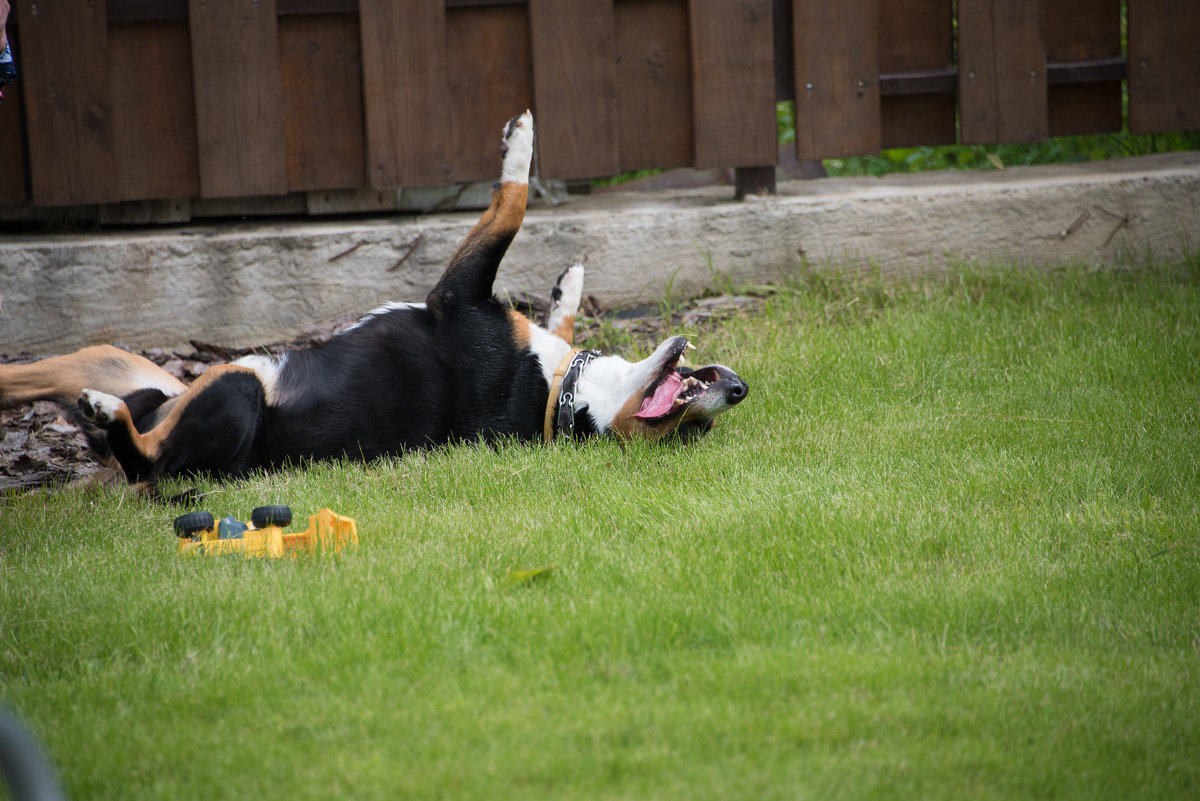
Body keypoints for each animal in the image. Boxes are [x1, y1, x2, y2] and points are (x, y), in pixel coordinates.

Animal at [0, 112, 748, 489]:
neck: (558, 393)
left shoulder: (454, 295)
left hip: (227, 395)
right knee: (58, 375)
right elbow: (553, 295)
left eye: (681, 426)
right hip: (141, 367)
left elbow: (511, 200)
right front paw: (570, 280)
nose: (738, 389)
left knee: (140, 456)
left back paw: (108, 419)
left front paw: (522, 144)